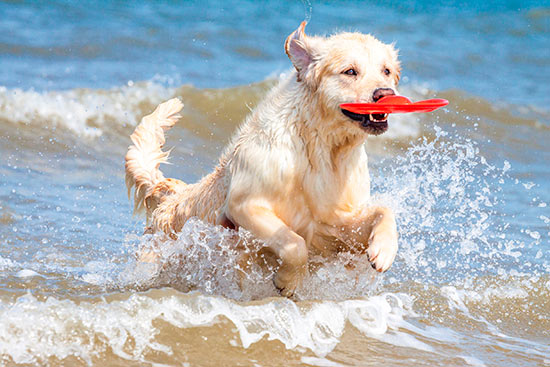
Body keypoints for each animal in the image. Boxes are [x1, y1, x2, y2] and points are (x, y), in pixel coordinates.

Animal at [125, 22, 402, 300]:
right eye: (350, 71)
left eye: (386, 70)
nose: (385, 93)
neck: (321, 150)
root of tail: (166, 195)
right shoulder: (243, 205)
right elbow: (294, 244)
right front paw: (288, 281)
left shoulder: (338, 223)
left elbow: (383, 210)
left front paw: (384, 251)